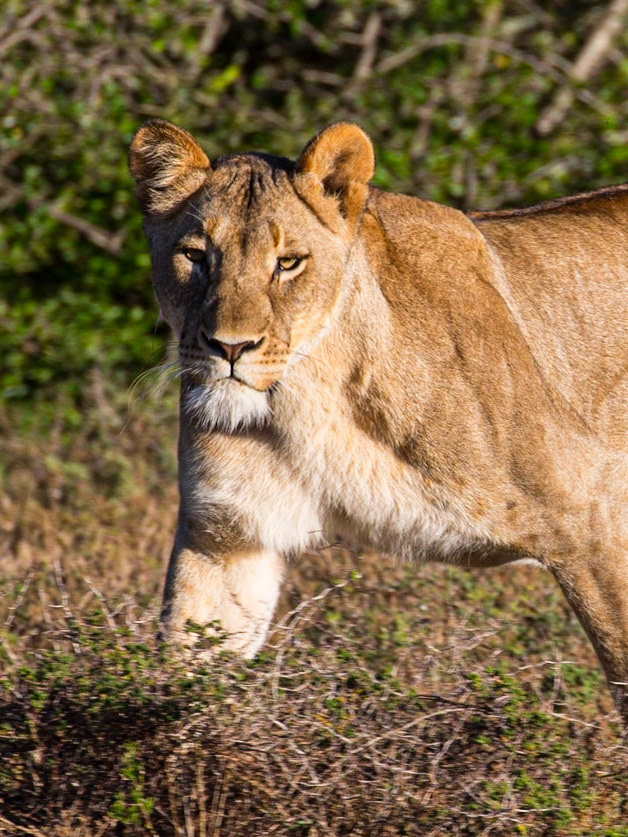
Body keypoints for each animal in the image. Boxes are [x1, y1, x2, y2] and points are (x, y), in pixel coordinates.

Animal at [130, 119, 628, 723]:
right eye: (196, 255)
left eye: (288, 262)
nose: (229, 347)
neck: (307, 398)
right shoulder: (225, 537)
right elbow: (182, 677)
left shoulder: (595, 519)